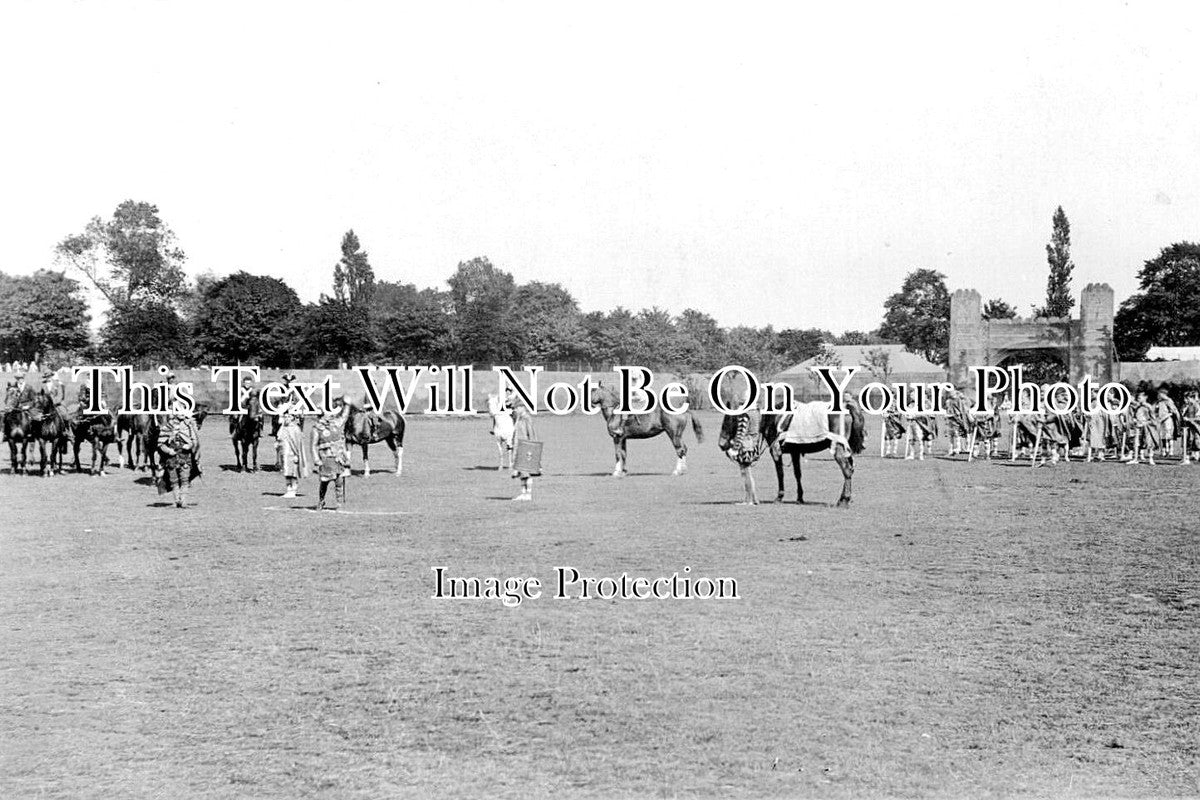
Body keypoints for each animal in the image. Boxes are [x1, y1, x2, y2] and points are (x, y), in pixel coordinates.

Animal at [715, 400, 868, 506]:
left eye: (729, 418)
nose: (721, 444)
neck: (772, 417)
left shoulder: (776, 452)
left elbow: (780, 474)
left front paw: (779, 497)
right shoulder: (795, 452)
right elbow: (797, 474)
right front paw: (800, 497)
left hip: (839, 449)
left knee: (846, 470)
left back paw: (844, 500)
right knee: (850, 469)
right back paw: (845, 498)